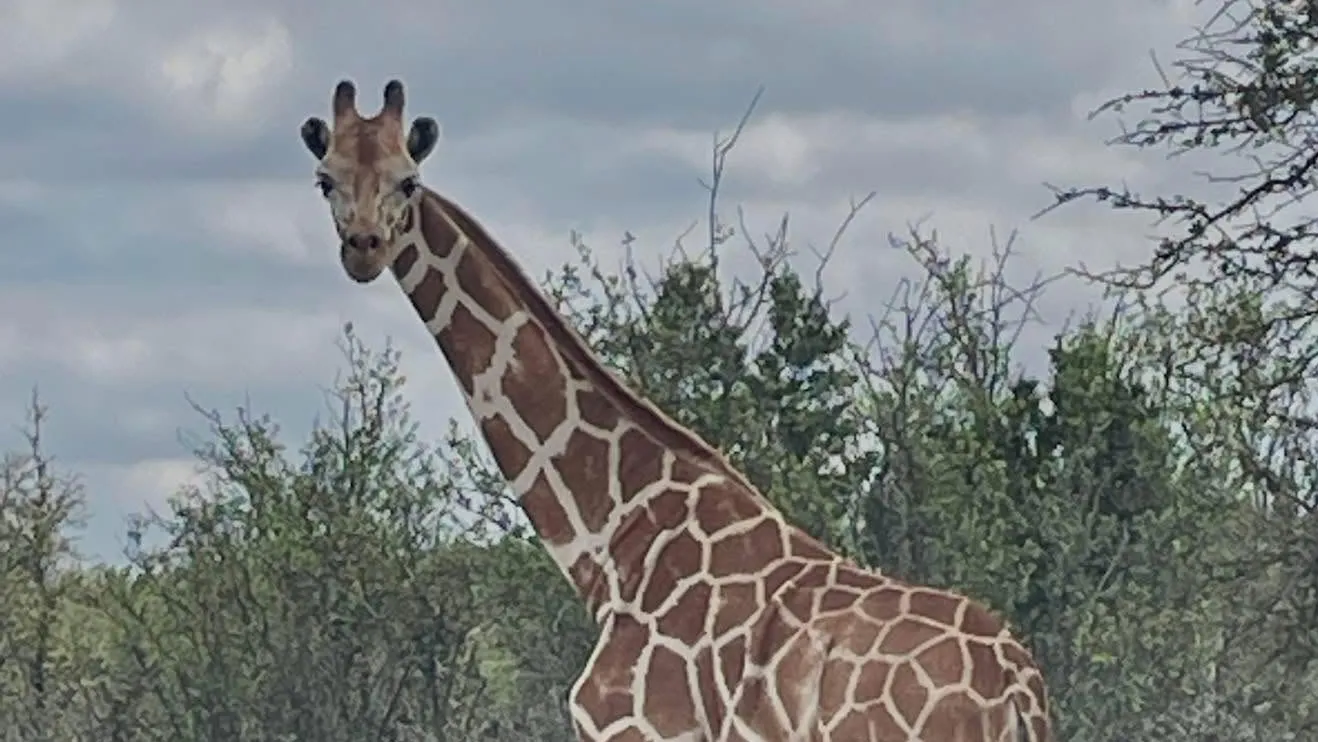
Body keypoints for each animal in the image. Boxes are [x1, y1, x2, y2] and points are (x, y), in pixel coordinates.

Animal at [298, 79, 1055, 742]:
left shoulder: (634, 730)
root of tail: (1018, 692)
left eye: (407, 181)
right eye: (325, 180)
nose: (363, 249)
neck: (613, 543)